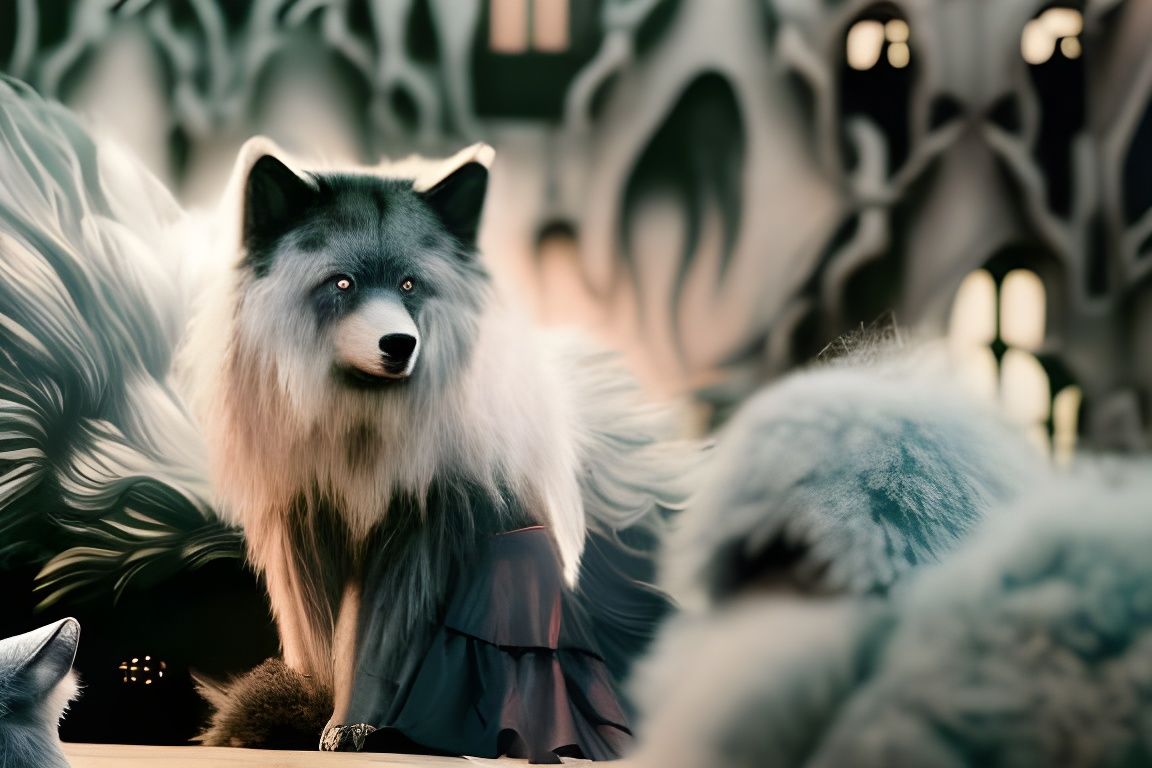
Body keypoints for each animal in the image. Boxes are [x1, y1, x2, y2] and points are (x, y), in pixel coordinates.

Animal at [180, 137, 693, 750]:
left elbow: (376, 650)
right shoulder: (305, 527)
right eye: (342, 283)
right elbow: (321, 647)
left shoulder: (417, 534)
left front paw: (350, 727)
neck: (357, 431)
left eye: (409, 284)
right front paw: (317, 716)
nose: (400, 344)